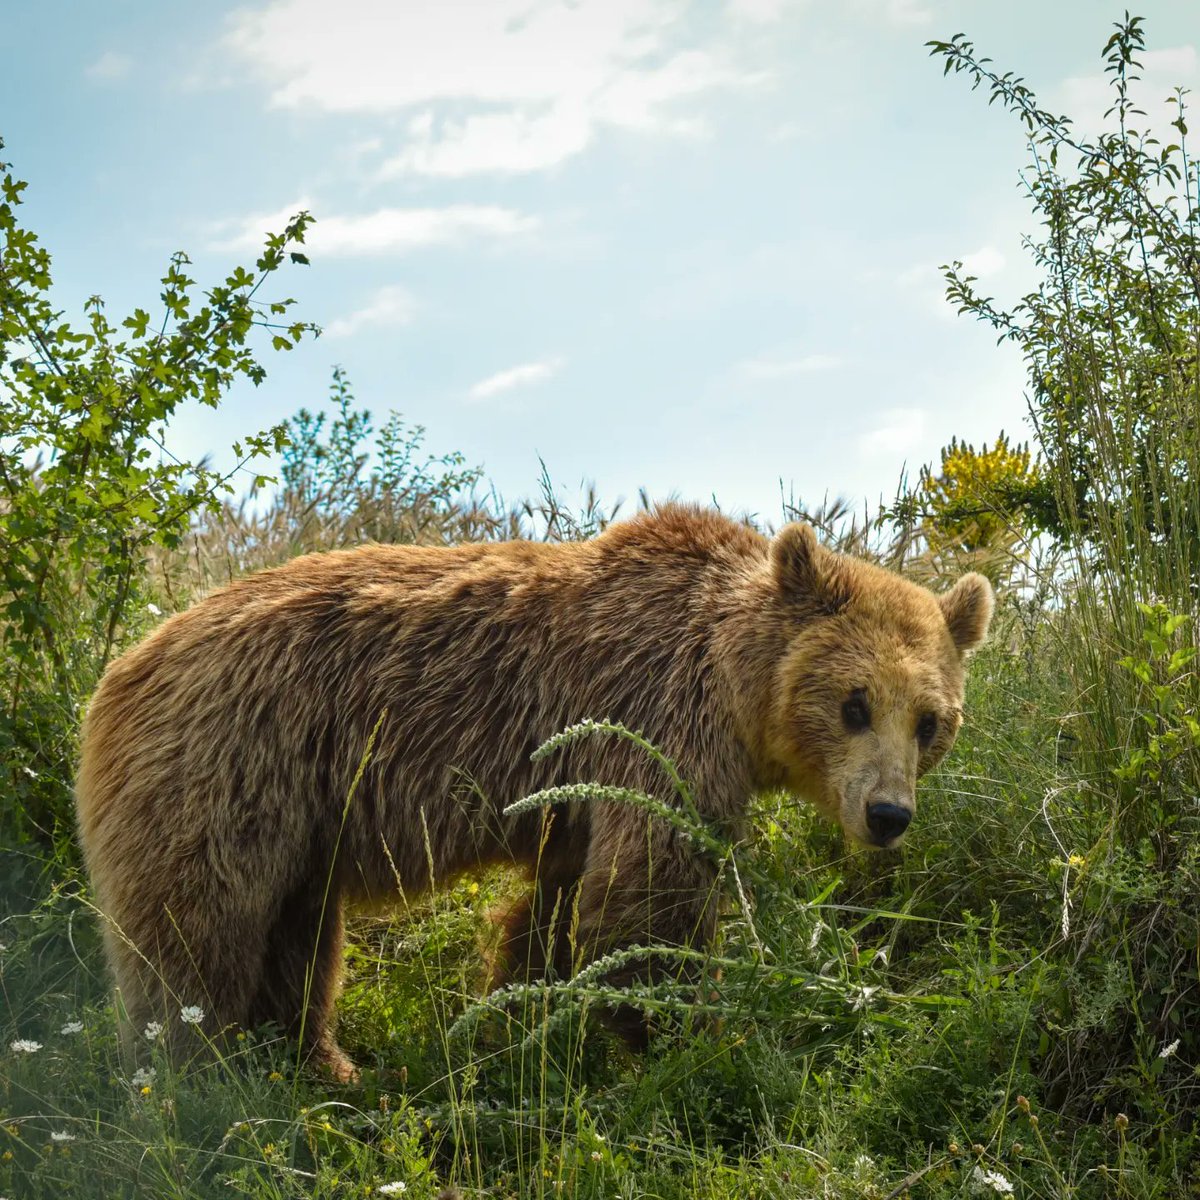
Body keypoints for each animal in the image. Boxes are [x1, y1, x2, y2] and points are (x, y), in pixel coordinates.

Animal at [75, 504, 992, 1080]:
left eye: (931, 721)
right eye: (854, 703)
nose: (888, 815)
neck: (734, 683)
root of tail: (123, 665)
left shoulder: (582, 787)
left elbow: (564, 905)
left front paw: (518, 1015)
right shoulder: (655, 717)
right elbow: (650, 899)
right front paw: (703, 1036)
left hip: (297, 814)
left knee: (295, 936)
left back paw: (319, 1063)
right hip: (226, 764)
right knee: (195, 935)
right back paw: (200, 1079)